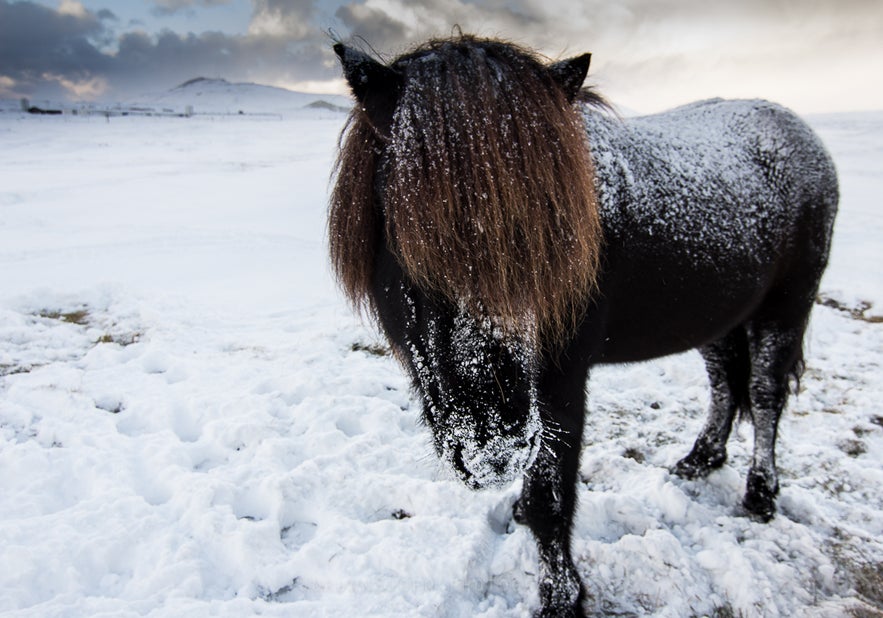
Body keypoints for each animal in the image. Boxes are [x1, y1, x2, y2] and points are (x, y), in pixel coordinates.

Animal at [330, 35, 836, 616]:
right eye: (406, 233)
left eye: (553, 238)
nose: (493, 450)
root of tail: (799, 132)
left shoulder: (562, 380)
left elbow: (550, 495)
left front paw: (560, 597)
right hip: (720, 317)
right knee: (726, 384)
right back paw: (699, 460)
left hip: (786, 306)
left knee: (766, 393)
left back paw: (760, 493)